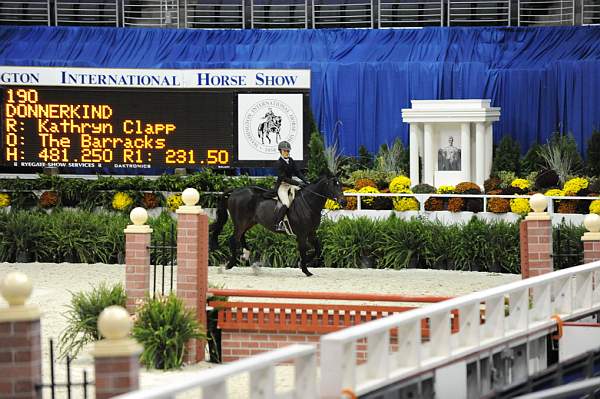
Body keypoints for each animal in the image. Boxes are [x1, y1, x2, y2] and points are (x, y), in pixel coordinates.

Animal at [209, 177, 344, 276]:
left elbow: (318, 249)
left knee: (240, 237)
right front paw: (305, 270)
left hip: (249, 222)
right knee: (233, 239)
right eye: (333, 186)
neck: (308, 203)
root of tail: (235, 191)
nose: (343, 202)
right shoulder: (302, 235)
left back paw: (248, 259)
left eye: (341, 185)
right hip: (241, 222)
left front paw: (302, 264)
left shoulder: (311, 233)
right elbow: (303, 250)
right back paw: (228, 265)